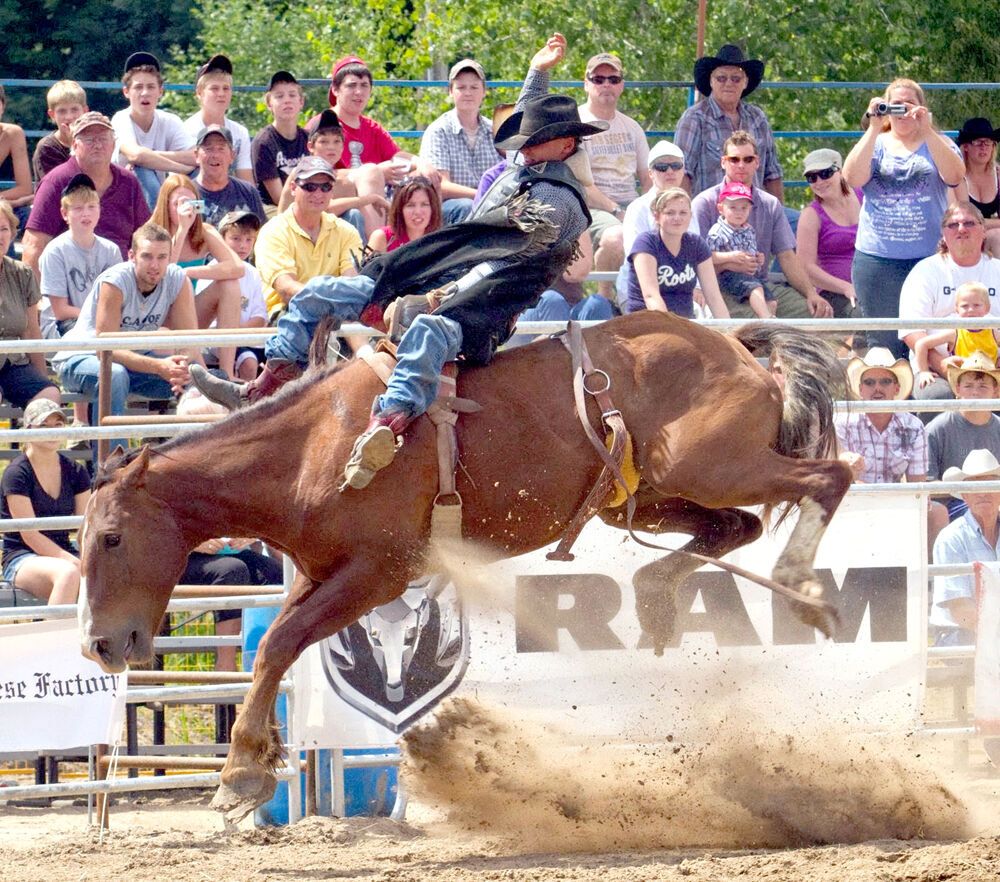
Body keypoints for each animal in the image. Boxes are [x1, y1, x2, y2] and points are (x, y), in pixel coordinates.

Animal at [78, 312, 852, 820]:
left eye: (111, 538)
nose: (99, 644)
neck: (311, 445)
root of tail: (735, 346)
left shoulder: (379, 572)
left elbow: (278, 644)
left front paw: (240, 773)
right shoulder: (323, 572)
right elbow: (277, 647)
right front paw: (255, 762)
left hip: (716, 465)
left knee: (827, 478)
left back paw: (803, 589)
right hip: (654, 492)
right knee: (735, 525)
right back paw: (659, 593)